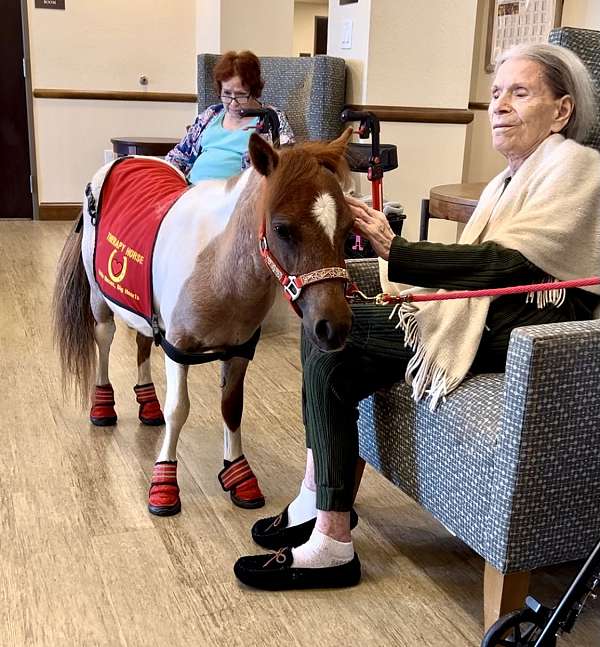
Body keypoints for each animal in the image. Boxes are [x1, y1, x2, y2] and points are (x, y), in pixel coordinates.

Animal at [52, 130, 356, 516]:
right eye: (282, 229)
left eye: (348, 230)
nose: (334, 326)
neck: (221, 264)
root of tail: (123, 159)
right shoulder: (177, 349)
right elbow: (178, 410)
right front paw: (164, 482)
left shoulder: (240, 350)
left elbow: (232, 409)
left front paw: (239, 476)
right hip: (98, 298)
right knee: (104, 340)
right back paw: (102, 405)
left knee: (142, 341)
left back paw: (147, 404)